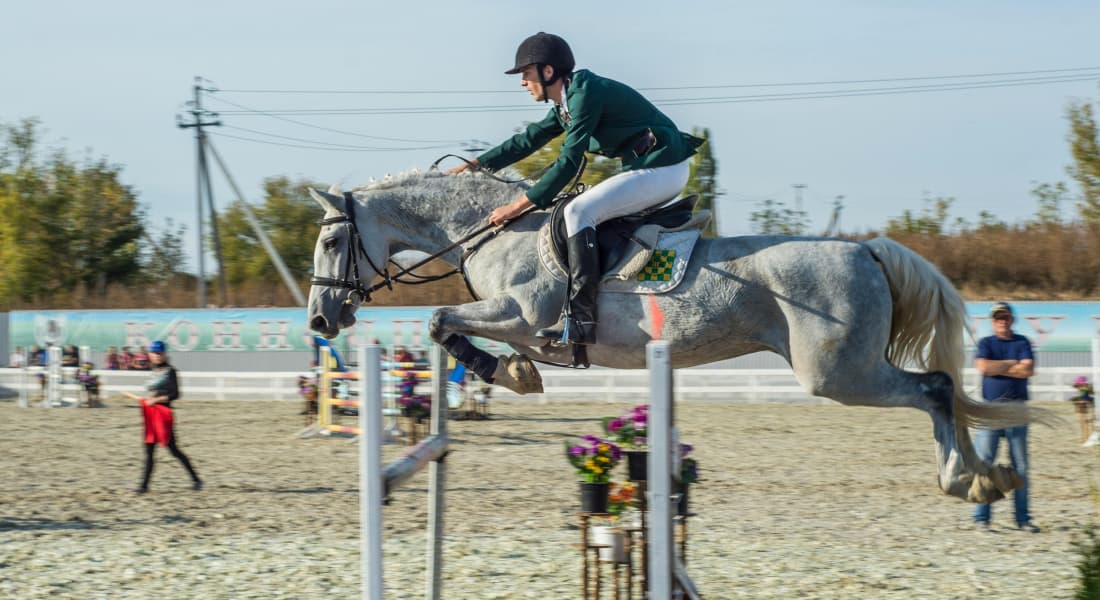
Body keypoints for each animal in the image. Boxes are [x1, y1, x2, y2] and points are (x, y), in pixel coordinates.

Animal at [306, 169, 1040, 504]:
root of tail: (864, 249)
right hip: (847, 369)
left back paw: (968, 480)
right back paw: (988, 478)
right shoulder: (521, 324)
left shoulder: (524, 315)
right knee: (939, 390)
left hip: (839, 373)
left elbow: (443, 321)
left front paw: (507, 374)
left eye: (334, 241)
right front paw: (515, 374)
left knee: (936, 387)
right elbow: (458, 332)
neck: (496, 230)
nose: (319, 321)